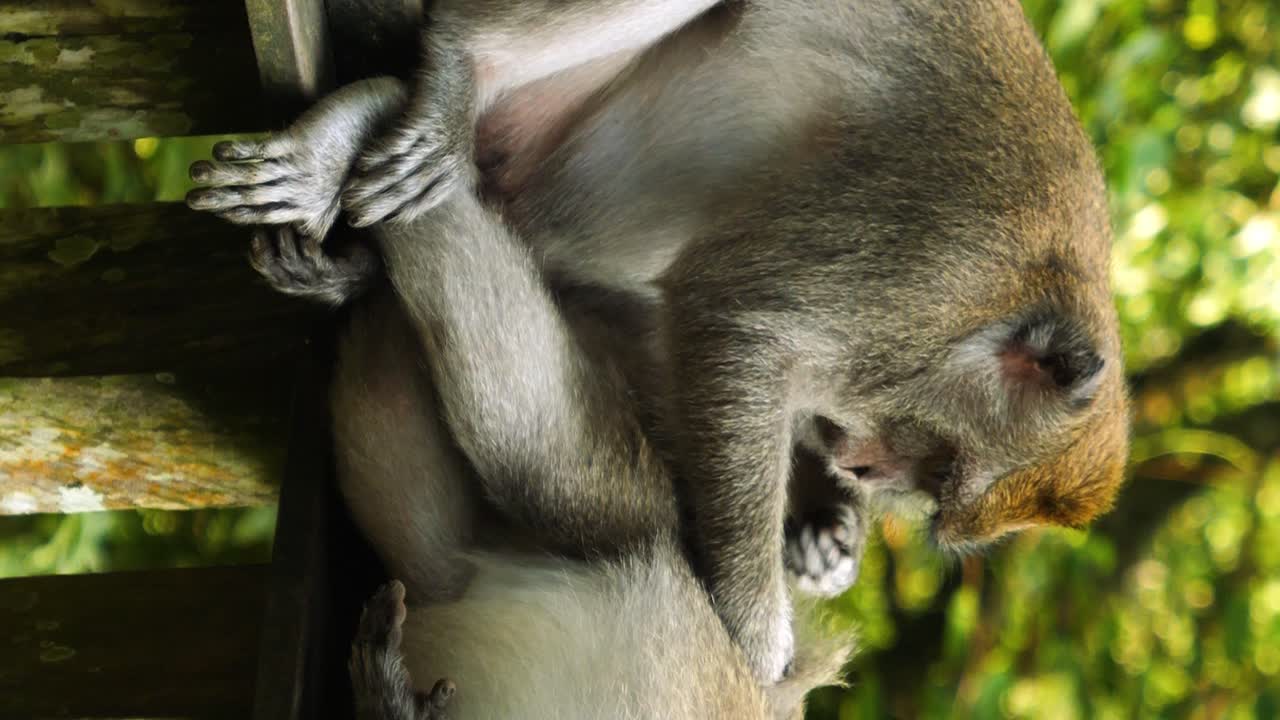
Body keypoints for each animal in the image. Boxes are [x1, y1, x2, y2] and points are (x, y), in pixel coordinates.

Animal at [188, 0, 1130, 685]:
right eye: (937, 467)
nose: (864, 469)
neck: (1006, 303)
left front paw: (825, 533)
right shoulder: (920, 269)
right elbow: (738, 324)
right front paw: (753, 641)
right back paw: (447, 73)